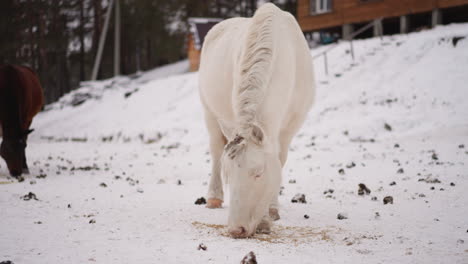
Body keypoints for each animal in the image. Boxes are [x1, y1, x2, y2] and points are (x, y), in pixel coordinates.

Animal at [197, 2, 314, 237]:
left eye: (259, 173)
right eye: (229, 175)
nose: (236, 229)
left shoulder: (289, 128)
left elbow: (279, 160)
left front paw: (271, 211)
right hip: (208, 110)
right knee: (216, 150)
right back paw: (213, 197)